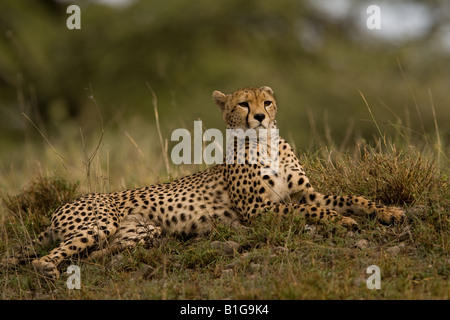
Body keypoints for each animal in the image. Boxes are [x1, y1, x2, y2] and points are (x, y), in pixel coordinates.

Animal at [1, 86, 406, 278]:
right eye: (243, 104)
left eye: (267, 102)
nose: (260, 116)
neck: (265, 142)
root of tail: (62, 206)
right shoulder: (260, 210)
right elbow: (313, 213)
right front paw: (343, 222)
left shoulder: (306, 192)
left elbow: (348, 198)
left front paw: (388, 211)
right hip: (99, 222)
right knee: (47, 256)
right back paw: (48, 270)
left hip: (140, 231)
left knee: (99, 252)